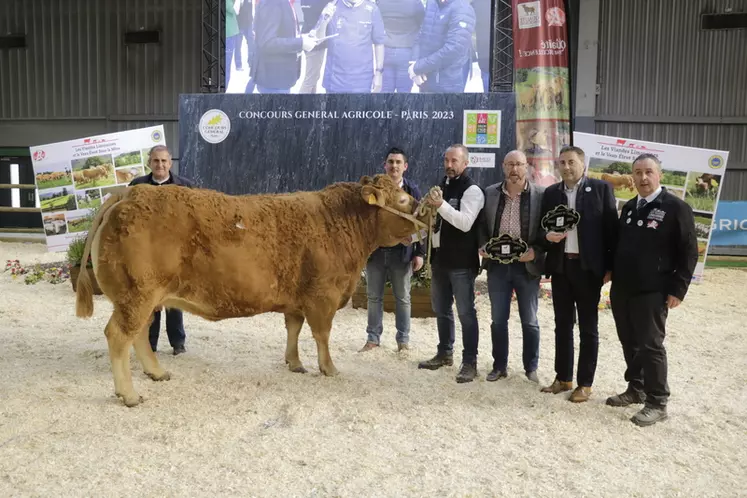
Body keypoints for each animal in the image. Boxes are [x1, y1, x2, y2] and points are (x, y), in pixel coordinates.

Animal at [75, 173, 432, 406]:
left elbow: (293, 328)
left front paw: (294, 363)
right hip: (137, 295)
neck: (343, 224)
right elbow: (322, 335)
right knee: (119, 335)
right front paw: (328, 368)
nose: (429, 215)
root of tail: (129, 194)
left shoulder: (296, 298)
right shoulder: (323, 296)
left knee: (138, 334)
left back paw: (156, 373)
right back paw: (129, 394)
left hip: (143, 298)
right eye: (403, 199)